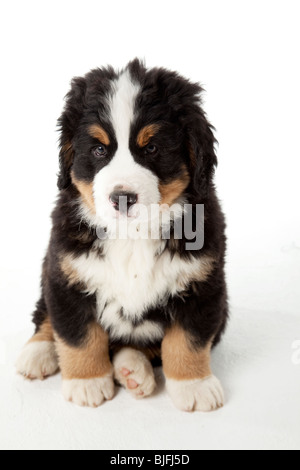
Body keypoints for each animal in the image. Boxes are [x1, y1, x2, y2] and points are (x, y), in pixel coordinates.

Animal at [15, 59, 227, 412]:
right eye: (99, 150)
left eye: (152, 148)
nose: (122, 198)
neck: (132, 237)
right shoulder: (66, 276)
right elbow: (78, 334)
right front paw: (87, 382)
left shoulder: (203, 284)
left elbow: (188, 340)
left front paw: (194, 385)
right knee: (46, 317)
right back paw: (38, 352)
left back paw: (133, 371)